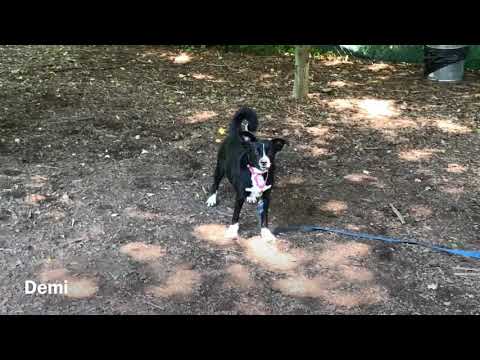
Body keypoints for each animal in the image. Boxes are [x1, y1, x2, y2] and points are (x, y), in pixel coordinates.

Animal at [205, 107, 286, 242]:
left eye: (270, 152)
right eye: (256, 152)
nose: (264, 162)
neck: (257, 174)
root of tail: (235, 134)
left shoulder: (266, 196)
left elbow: (264, 216)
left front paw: (265, 232)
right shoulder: (240, 196)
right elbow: (236, 214)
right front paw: (232, 230)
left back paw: (251, 197)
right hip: (220, 167)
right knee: (215, 183)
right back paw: (212, 198)